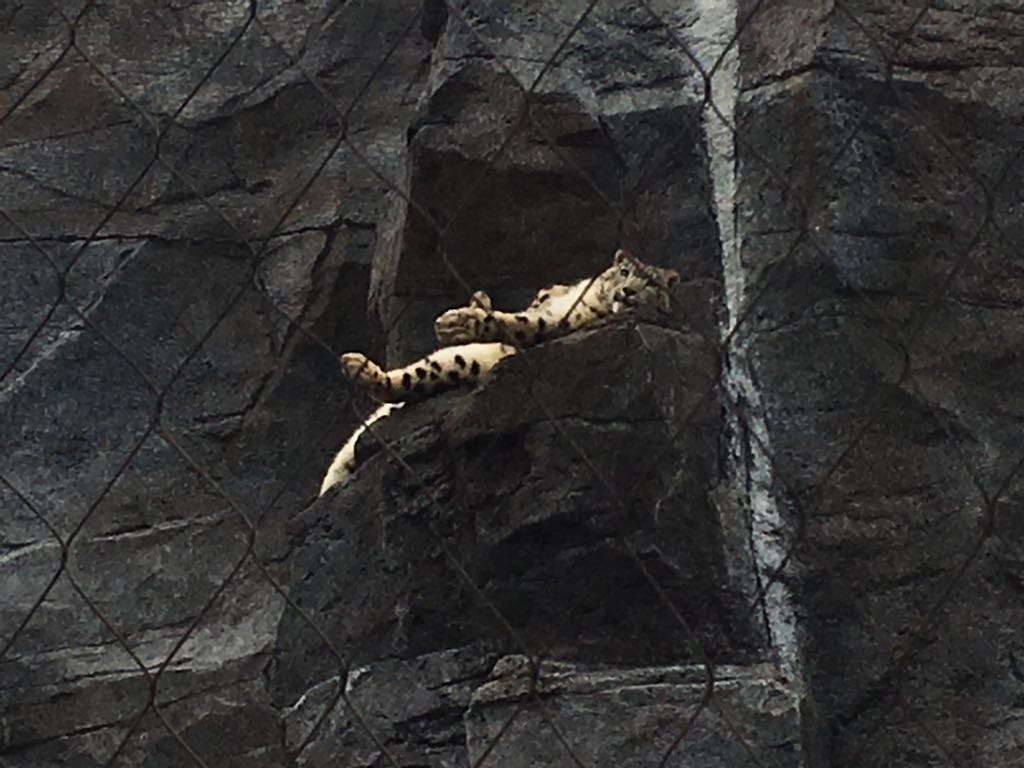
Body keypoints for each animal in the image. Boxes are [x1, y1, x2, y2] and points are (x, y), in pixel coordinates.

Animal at [318, 248, 679, 495]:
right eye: (623, 271)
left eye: (649, 282)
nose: (627, 291)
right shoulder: (550, 296)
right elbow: (537, 303)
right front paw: (476, 303)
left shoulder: (552, 326)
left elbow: (520, 323)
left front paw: (463, 320)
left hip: (457, 364)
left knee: (412, 381)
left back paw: (362, 369)